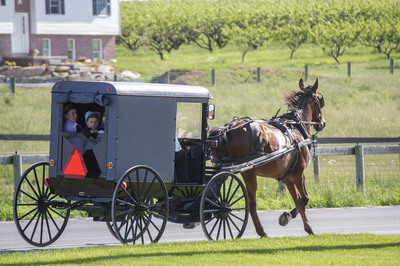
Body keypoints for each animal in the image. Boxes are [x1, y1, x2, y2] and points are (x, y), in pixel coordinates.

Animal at [209, 79, 324, 237]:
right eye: (320, 100)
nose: (322, 123)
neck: (295, 127)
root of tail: (228, 128)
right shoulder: (299, 173)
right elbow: (305, 199)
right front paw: (286, 216)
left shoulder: (288, 177)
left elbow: (298, 201)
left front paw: (308, 228)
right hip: (249, 173)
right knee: (251, 204)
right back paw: (261, 231)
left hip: (223, 168)